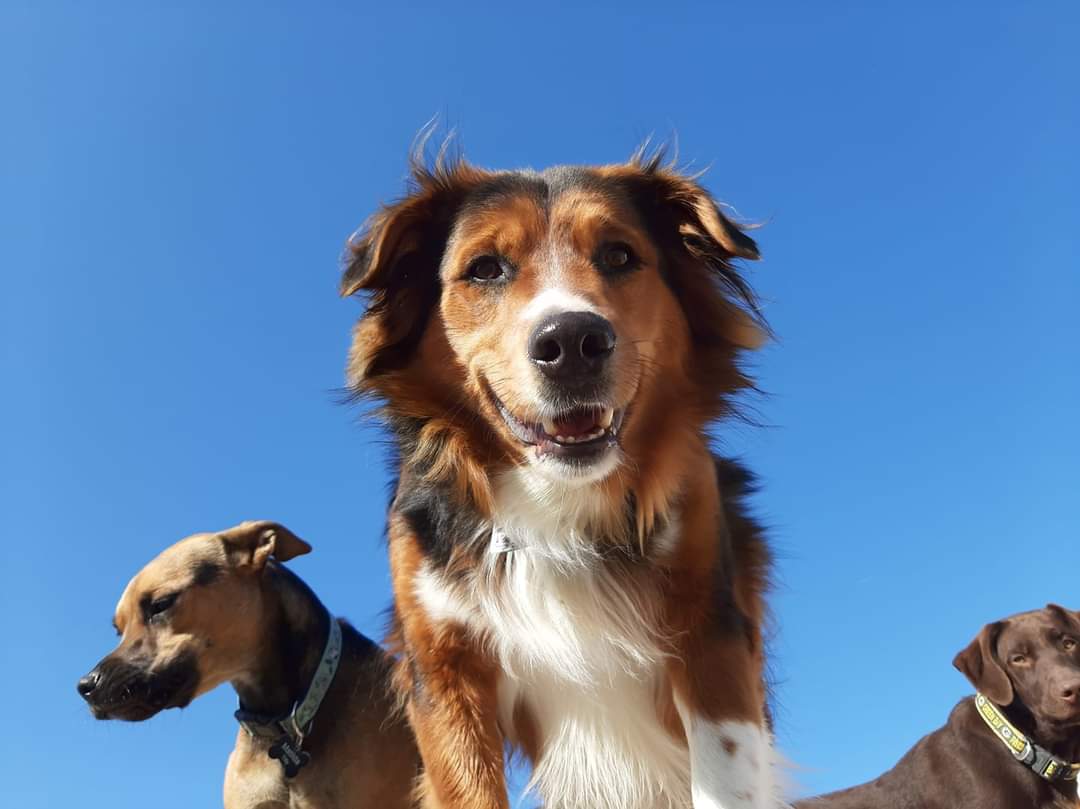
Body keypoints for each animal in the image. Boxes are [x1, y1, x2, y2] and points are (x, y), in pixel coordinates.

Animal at [341, 146, 781, 807]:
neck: (559, 503)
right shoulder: (446, 672)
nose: (572, 342)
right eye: (485, 269)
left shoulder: (712, 632)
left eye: (619, 255)